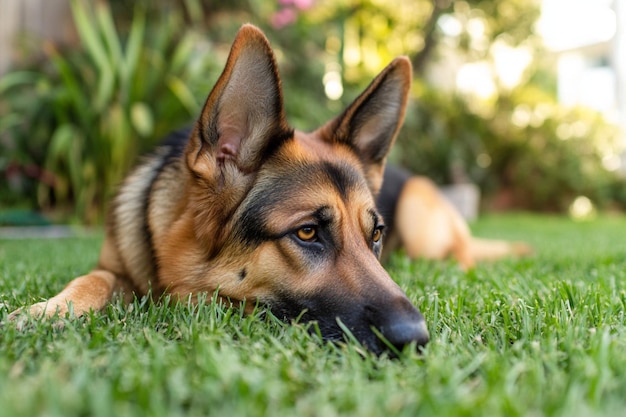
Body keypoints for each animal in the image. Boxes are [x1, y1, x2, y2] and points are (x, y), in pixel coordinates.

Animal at [8, 23, 428, 354]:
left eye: (375, 234)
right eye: (308, 232)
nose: (417, 338)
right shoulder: (114, 267)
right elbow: (93, 278)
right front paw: (50, 309)